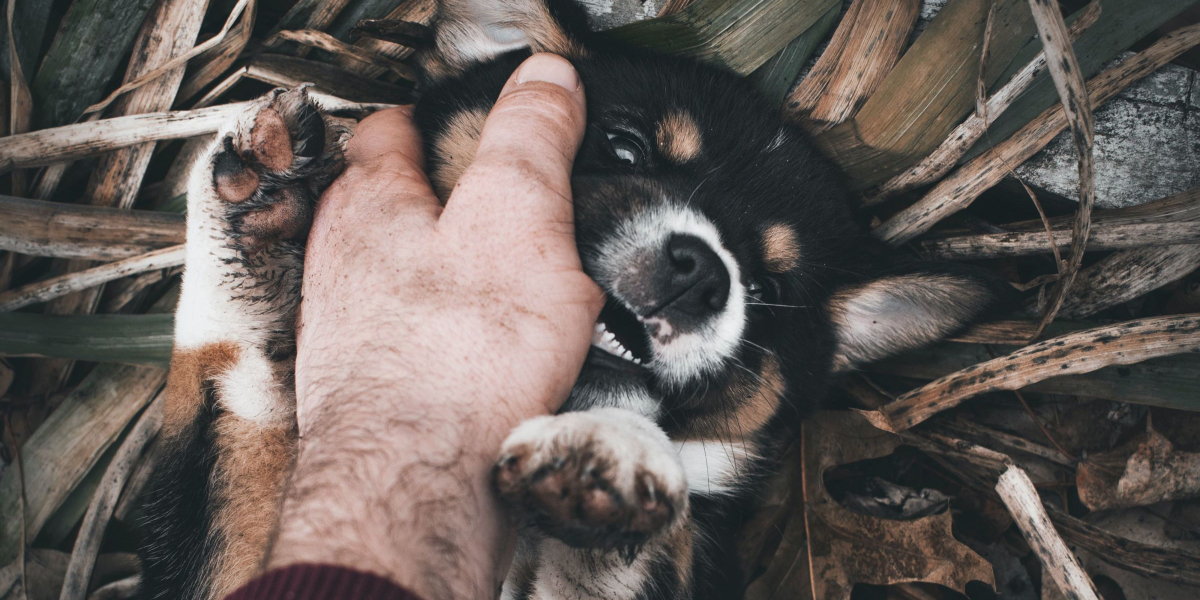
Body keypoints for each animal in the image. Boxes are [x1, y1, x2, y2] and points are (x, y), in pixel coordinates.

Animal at [136, 2, 1008, 597]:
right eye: (623, 145)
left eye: (768, 290)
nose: (703, 274)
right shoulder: (231, 556)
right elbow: (239, 401)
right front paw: (259, 222)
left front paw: (614, 452)